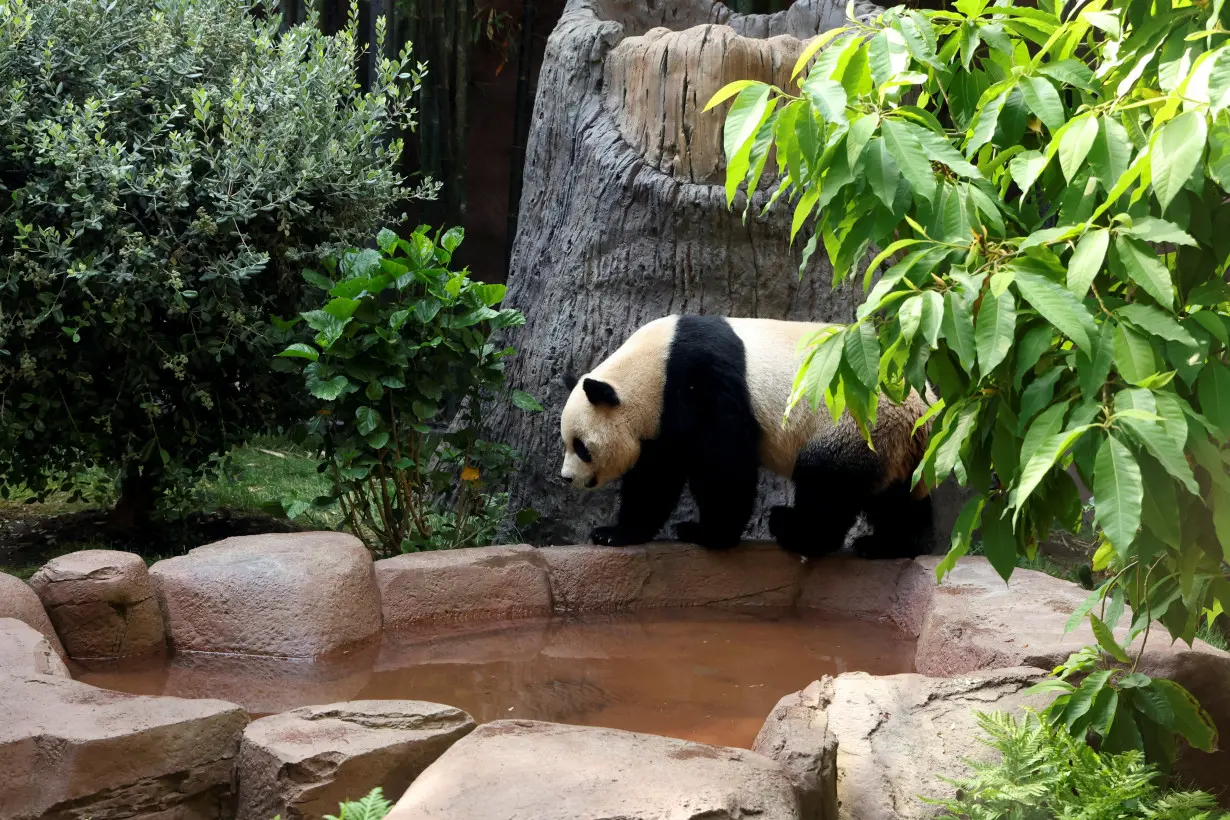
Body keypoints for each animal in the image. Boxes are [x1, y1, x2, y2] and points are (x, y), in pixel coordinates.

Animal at [558, 314, 929, 558]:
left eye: (581, 447)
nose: (566, 478)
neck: (654, 366)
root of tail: (921, 412)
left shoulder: (702, 382)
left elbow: (722, 464)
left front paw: (707, 533)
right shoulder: (663, 418)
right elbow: (656, 476)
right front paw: (616, 533)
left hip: (854, 426)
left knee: (826, 485)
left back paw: (794, 530)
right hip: (897, 449)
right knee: (896, 499)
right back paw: (888, 545)